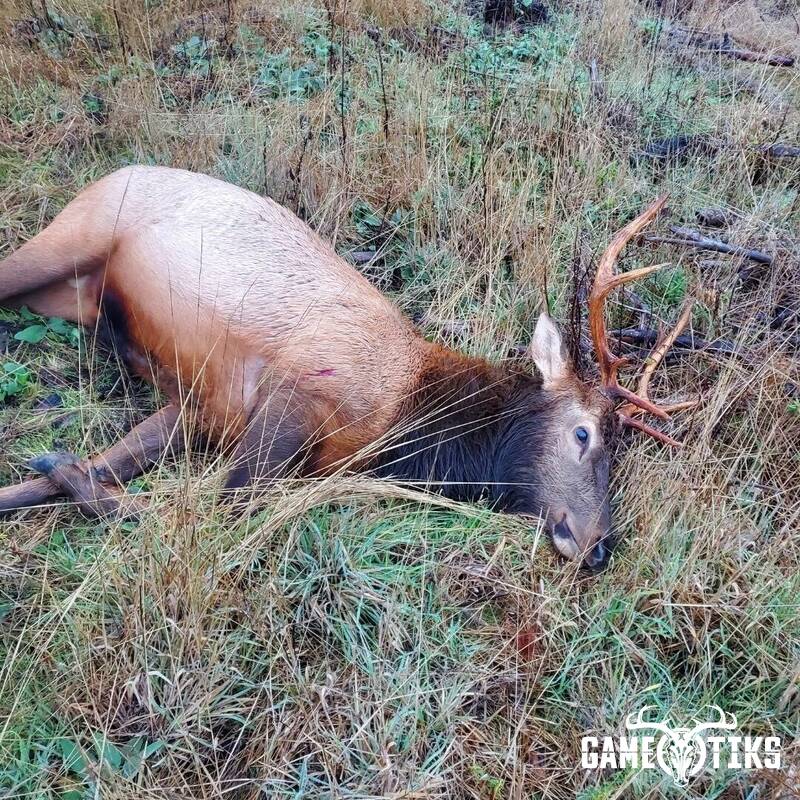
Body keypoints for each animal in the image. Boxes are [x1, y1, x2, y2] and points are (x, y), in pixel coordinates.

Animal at [0, 166, 693, 569]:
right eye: (583, 432)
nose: (600, 546)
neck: (407, 423)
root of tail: (115, 169)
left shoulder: (202, 407)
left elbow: (104, 473)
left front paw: (49, 470)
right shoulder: (294, 392)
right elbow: (215, 509)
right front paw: (59, 465)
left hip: (76, 296)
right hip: (70, 235)